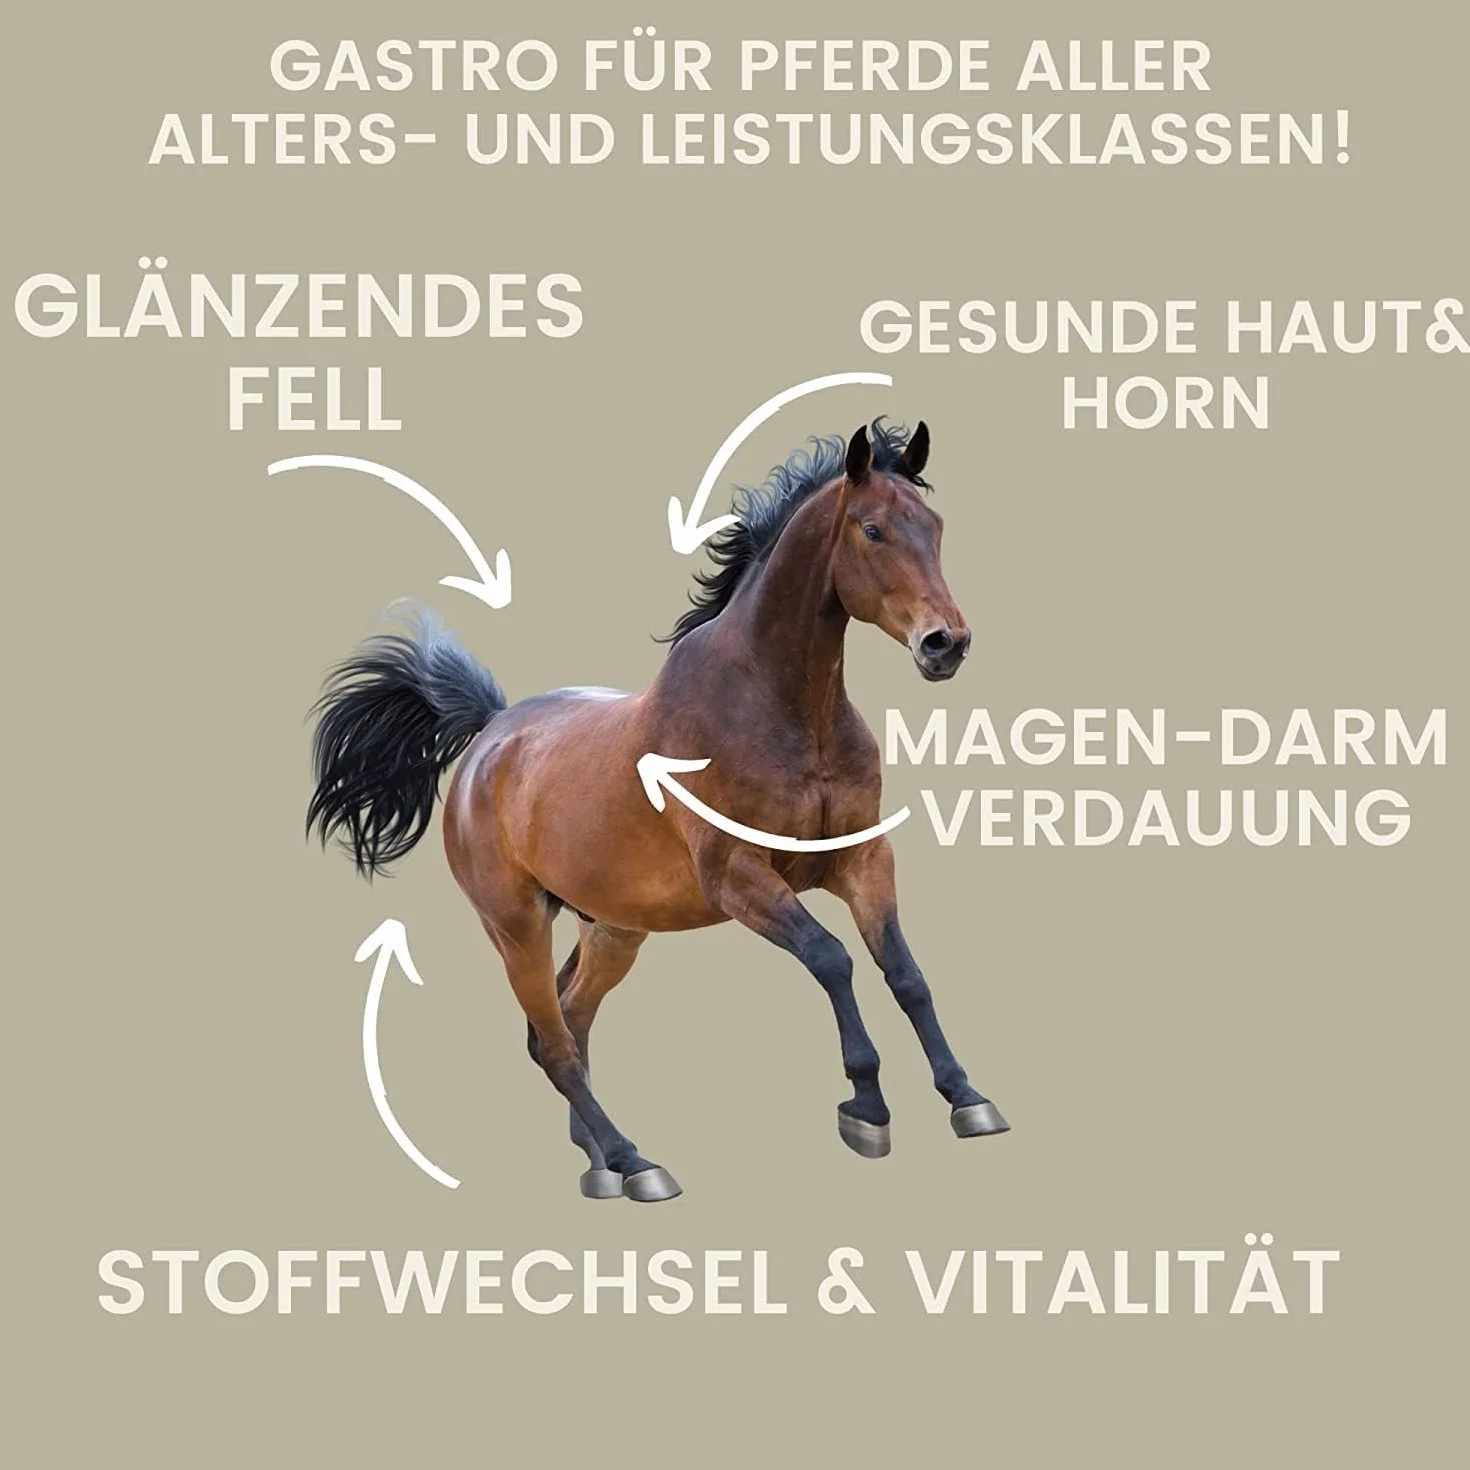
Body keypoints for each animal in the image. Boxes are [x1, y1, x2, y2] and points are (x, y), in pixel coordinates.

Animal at [307, 419, 1008, 1202]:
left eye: (935, 527)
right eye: (873, 529)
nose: (945, 644)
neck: (786, 711)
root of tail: (490, 734)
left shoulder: (861, 858)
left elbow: (906, 973)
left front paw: (967, 1097)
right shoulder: (737, 876)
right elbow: (832, 959)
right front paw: (867, 1105)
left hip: (614, 929)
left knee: (568, 1022)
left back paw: (601, 1163)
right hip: (516, 926)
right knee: (554, 1044)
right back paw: (635, 1161)